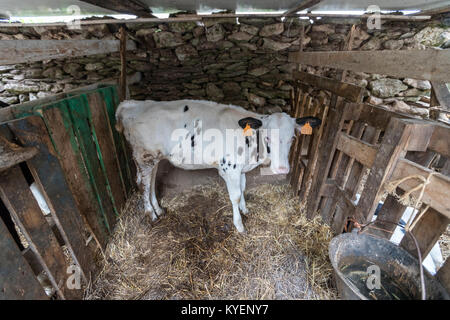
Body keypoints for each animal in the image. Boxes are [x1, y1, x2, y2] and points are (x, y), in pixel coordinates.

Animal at [116, 99, 320, 232]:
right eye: (268, 137)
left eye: (292, 138)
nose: (282, 169)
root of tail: (132, 104)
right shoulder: (230, 167)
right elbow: (235, 196)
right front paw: (239, 225)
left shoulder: (241, 168)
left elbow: (243, 189)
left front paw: (245, 209)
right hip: (144, 156)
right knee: (143, 184)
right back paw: (150, 213)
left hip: (154, 158)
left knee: (150, 182)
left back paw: (158, 209)